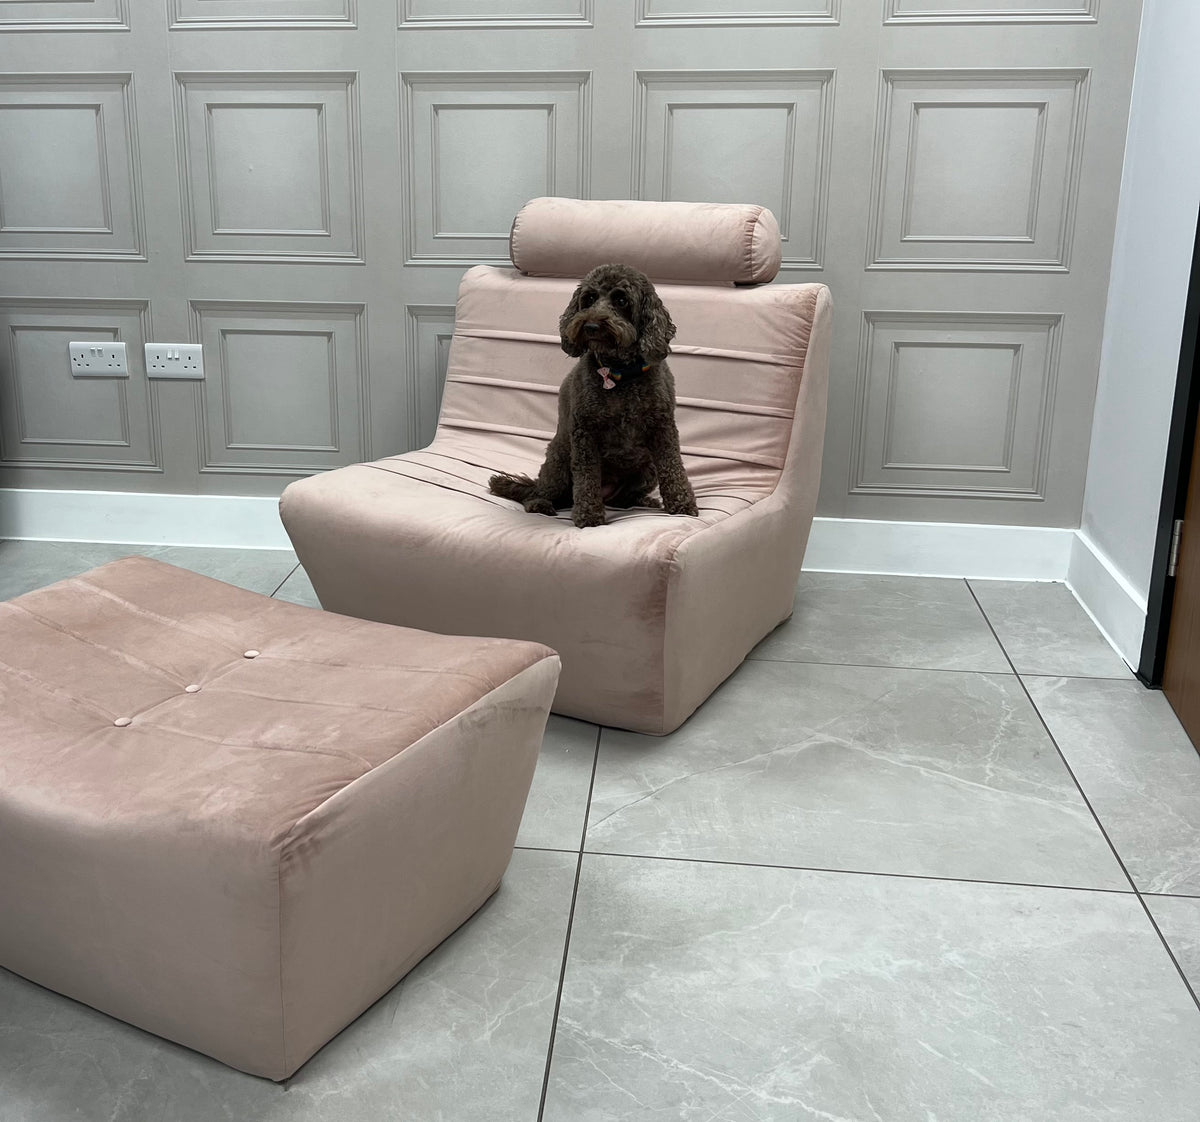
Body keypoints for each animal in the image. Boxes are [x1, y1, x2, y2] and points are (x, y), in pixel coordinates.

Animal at [484, 264, 700, 530]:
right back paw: (540, 504)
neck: (620, 374)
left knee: (622, 498)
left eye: (621, 300)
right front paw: (588, 516)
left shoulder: (663, 427)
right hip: (559, 462)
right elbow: (586, 478)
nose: (591, 326)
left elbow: (673, 467)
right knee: (541, 492)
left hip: (647, 469)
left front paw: (682, 505)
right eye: (588, 299)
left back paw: (641, 501)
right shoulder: (585, 432)